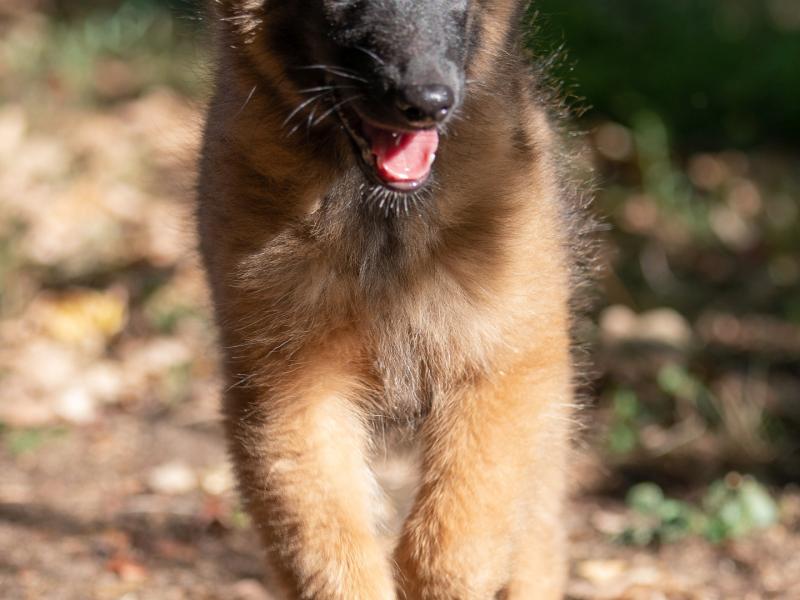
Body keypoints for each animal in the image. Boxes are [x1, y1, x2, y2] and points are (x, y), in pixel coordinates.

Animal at [197, 1, 592, 600]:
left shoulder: (503, 370)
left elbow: (453, 543)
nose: (427, 103)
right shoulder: (290, 392)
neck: (384, 220)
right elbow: (327, 551)